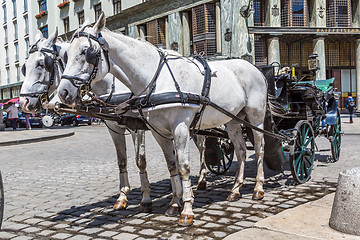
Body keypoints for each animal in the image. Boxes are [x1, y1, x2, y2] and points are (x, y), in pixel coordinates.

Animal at [18, 28, 184, 216]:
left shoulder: (137, 127)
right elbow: (122, 160)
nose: (23, 102)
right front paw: (122, 198)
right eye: (24, 67)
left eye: (41, 64)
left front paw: (146, 199)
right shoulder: (114, 127)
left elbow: (140, 160)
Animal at [58, 13, 268, 227]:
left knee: (259, 148)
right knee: (241, 151)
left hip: (256, 116)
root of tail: (255, 68)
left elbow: (183, 167)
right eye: (66, 56)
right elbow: (171, 165)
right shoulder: (158, 131)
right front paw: (174, 203)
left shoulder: (179, 128)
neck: (157, 80)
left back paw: (258, 188)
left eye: (87, 52)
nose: (63, 92)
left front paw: (187, 210)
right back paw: (235, 190)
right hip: (233, 119)